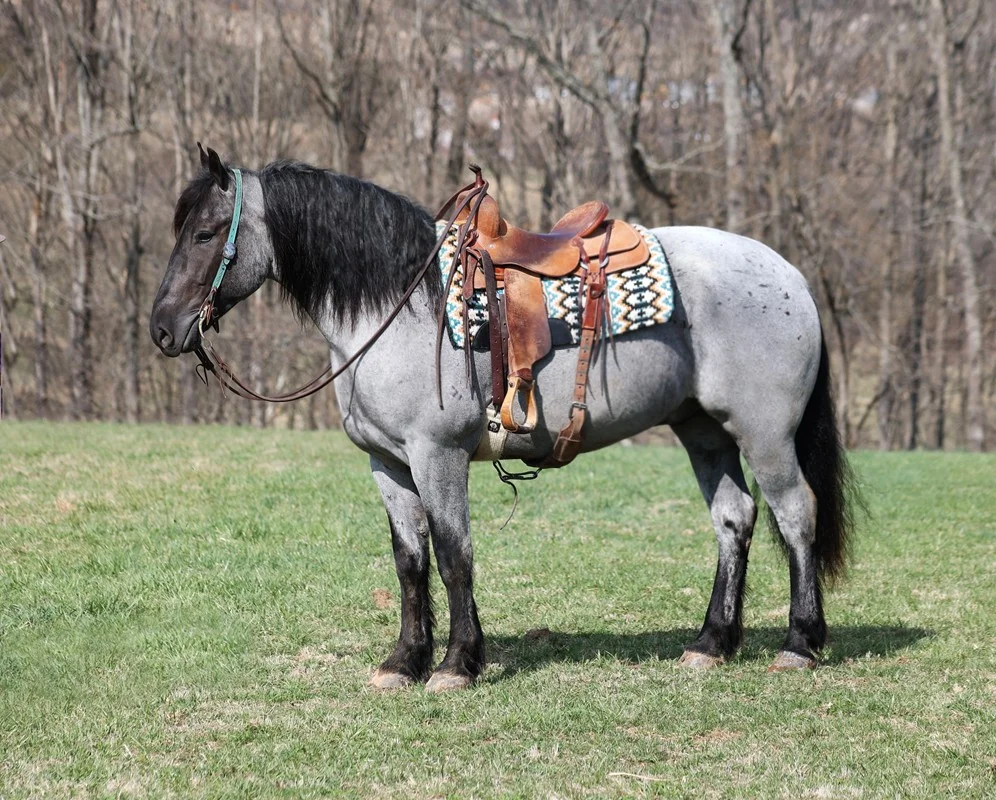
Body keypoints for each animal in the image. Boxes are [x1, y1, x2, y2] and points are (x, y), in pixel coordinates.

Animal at [150, 147, 856, 692]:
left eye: (207, 234)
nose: (161, 329)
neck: (403, 305)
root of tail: (789, 275)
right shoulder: (387, 464)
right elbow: (410, 560)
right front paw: (403, 662)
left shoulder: (437, 455)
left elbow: (453, 554)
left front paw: (457, 664)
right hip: (703, 430)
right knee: (734, 519)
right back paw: (712, 644)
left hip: (765, 434)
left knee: (797, 515)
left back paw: (799, 644)